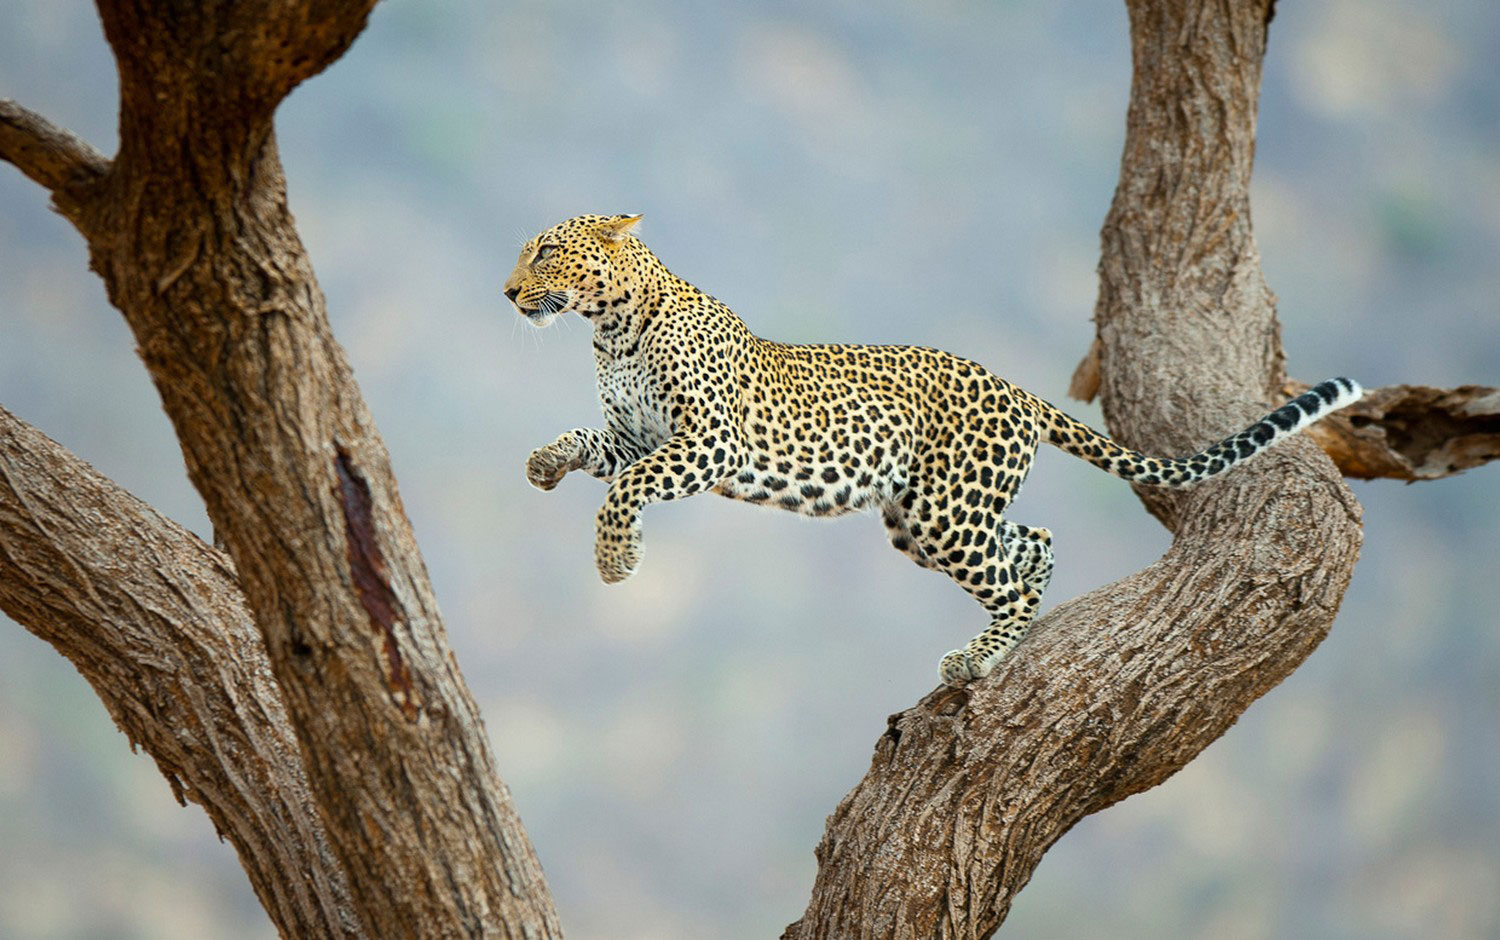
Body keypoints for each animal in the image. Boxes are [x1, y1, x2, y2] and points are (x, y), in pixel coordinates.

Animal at [504, 211, 1362, 683]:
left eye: (543, 251)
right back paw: (1003, 641)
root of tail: (1016, 388)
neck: (610, 327)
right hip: (926, 516)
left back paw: (982, 658)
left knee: (1011, 577)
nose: (508, 292)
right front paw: (543, 464)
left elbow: (626, 491)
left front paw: (616, 560)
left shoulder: (710, 442)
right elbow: (589, 444)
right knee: (1034, 541)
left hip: (948, 513)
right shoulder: (634, 435)